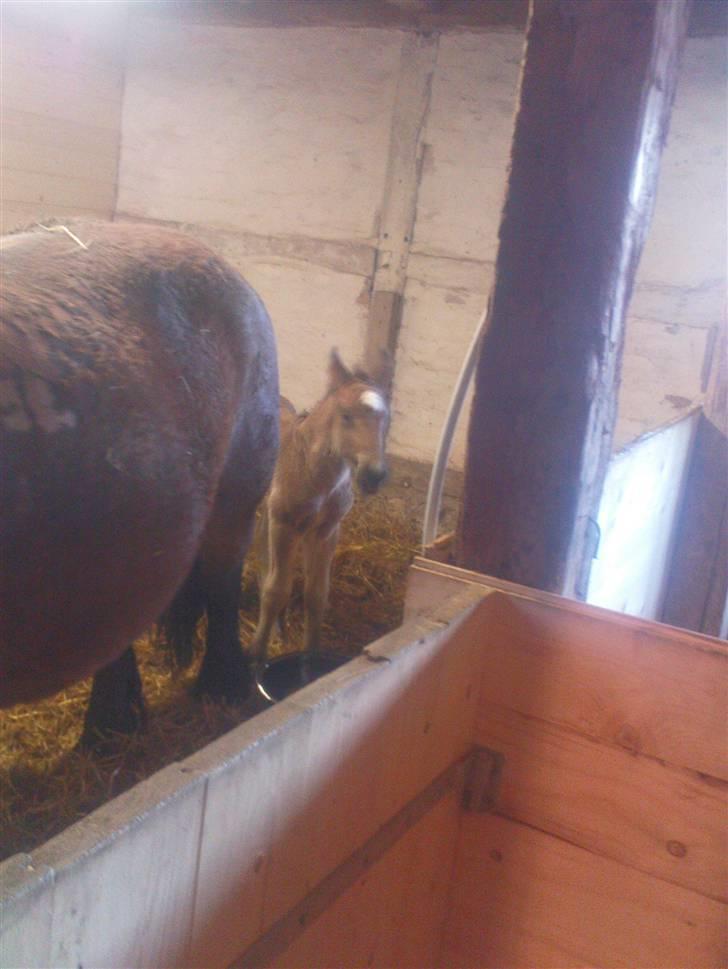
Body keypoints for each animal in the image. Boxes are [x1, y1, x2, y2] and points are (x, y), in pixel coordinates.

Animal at [252, 352, 390, 660]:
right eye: (346, 416)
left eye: (385, 419)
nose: (373, 475)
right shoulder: (285, 524)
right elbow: (276, 590)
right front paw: (256, 655)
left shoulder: (325, 530)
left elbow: (316, 594)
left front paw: (311, 656)